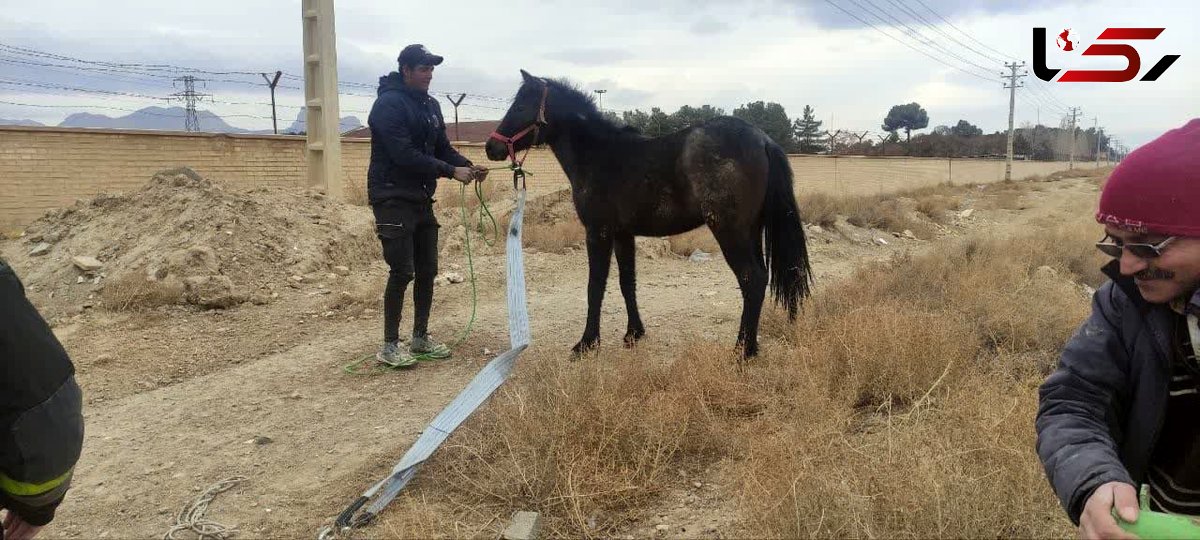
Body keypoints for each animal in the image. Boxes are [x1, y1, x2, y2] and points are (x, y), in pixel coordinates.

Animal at [487, 71, 816, 357]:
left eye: (521, 105)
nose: (491, 147)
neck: (600, 154)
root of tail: (763, 140)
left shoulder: (598, 232)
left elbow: (595, 286)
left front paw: (587, 343)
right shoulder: (623, 234)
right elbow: (626, 282)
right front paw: (634, 333)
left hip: (729, 231)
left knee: (752, 280)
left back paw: (741, 353)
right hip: (751, 231)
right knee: (759, 278)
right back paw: (752, 348)